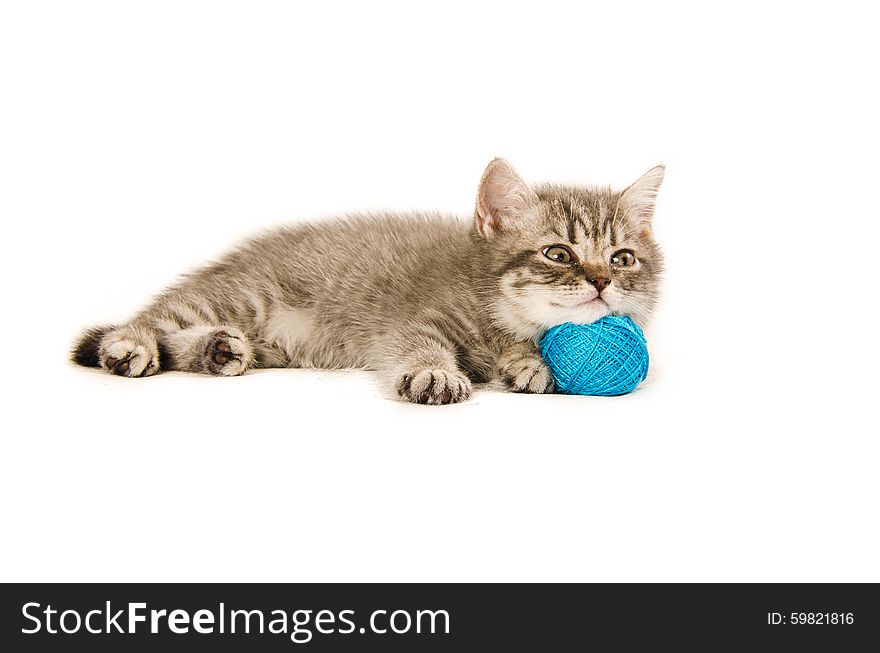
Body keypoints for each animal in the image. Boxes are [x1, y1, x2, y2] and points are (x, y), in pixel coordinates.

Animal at [72, 159, 664, 402]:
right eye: (558, 253)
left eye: (622, 258)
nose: (601, 282)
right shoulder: (416, 319)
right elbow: (418, 343)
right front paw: (435, 372)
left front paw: (529, 364)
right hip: (244, 296)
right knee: (153, 319)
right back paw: (132, 346)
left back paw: (219, 350)